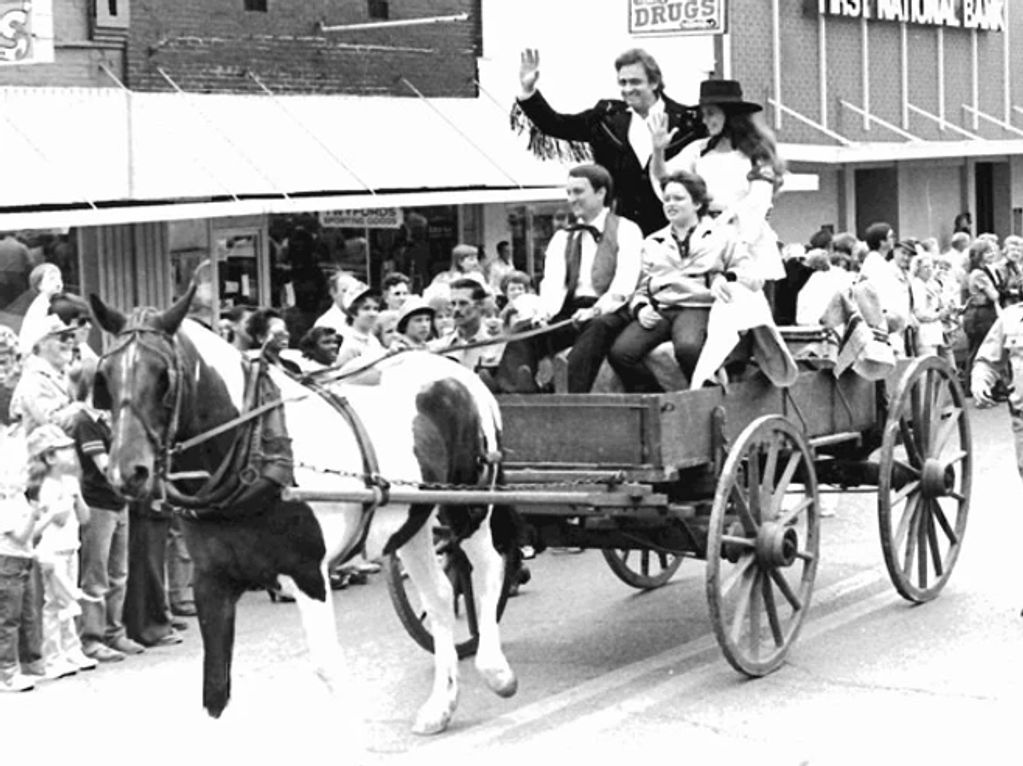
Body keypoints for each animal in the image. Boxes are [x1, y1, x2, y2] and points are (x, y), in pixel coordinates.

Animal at [86, 288, 515, 736]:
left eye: (163, 377)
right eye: (104, 377)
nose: (126, 471)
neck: (257, 448)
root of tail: (458, 372)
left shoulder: (308, 572)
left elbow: (327, 667)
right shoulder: (211, 581)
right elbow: (215, 686)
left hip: (470, 508)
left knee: (486, 570)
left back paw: (495, 670)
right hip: (412, 523)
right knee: (441, 595)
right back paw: (441, 704)